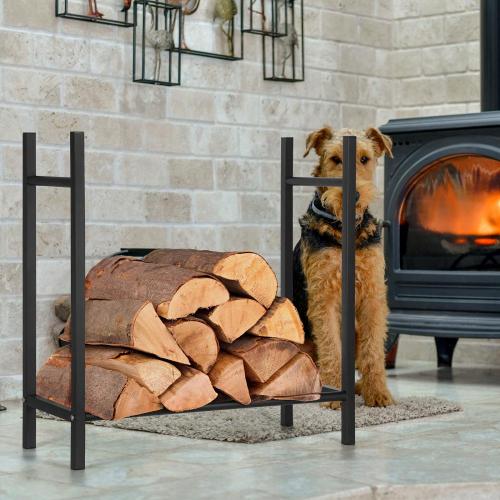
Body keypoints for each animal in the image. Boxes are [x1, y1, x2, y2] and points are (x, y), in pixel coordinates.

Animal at [292, 127, 394, 408]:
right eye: (336, 159)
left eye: (365, 158)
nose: (354, 196)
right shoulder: (323, 297)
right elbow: (330, 349)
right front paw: (332, 399)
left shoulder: (372, 294)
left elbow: (373, 352)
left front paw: (378, 394)